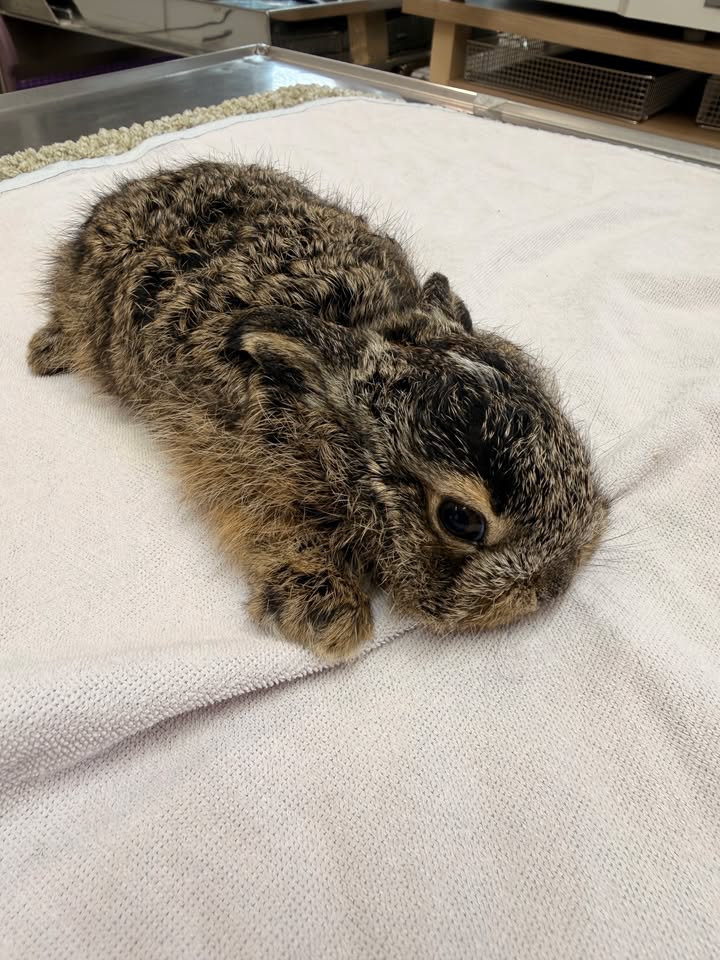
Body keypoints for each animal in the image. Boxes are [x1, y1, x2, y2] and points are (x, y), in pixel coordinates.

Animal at [28, 161, 608, 660]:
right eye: (461, 519)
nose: (555, 585)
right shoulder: (233, 462)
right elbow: (277, 528)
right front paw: (327, 617)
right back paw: (45, 353)